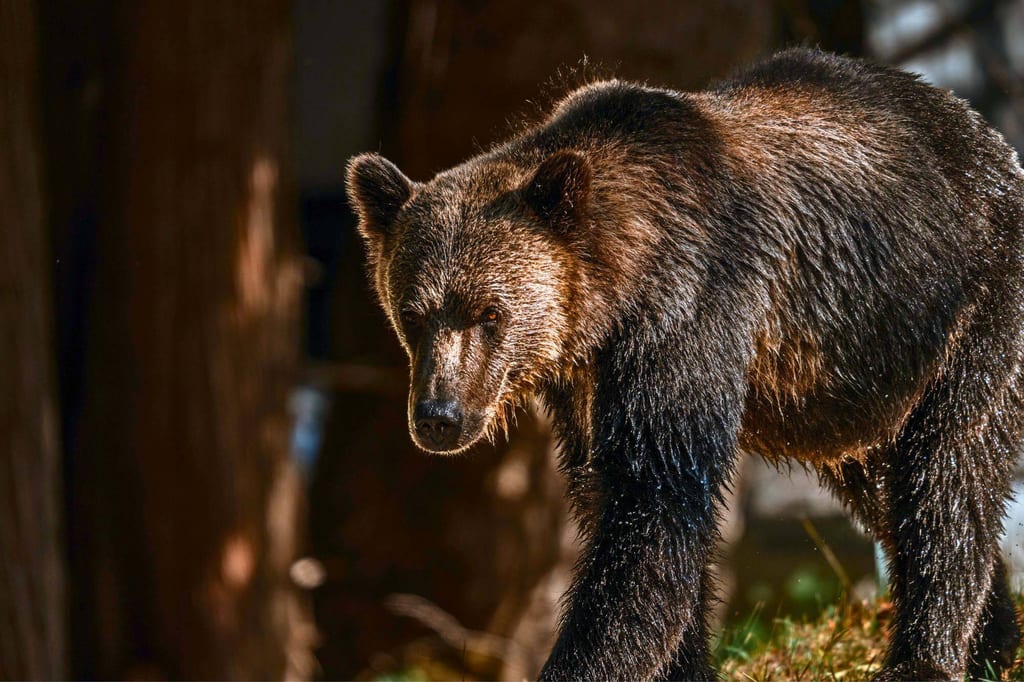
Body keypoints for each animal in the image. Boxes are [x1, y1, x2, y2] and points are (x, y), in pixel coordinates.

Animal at [346, 48, 1024, 681]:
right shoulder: (587, 384)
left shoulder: (691, 315)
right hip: (854, 386)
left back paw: (927, 656)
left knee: (948, 470)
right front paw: (686, 664)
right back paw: (994, 640)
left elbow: (653, 510)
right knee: (888, 489)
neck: (620, 286)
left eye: (489, 312)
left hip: (966, 308)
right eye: (412, 313)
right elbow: (615, 499)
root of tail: (986, 135)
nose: (439, 416)